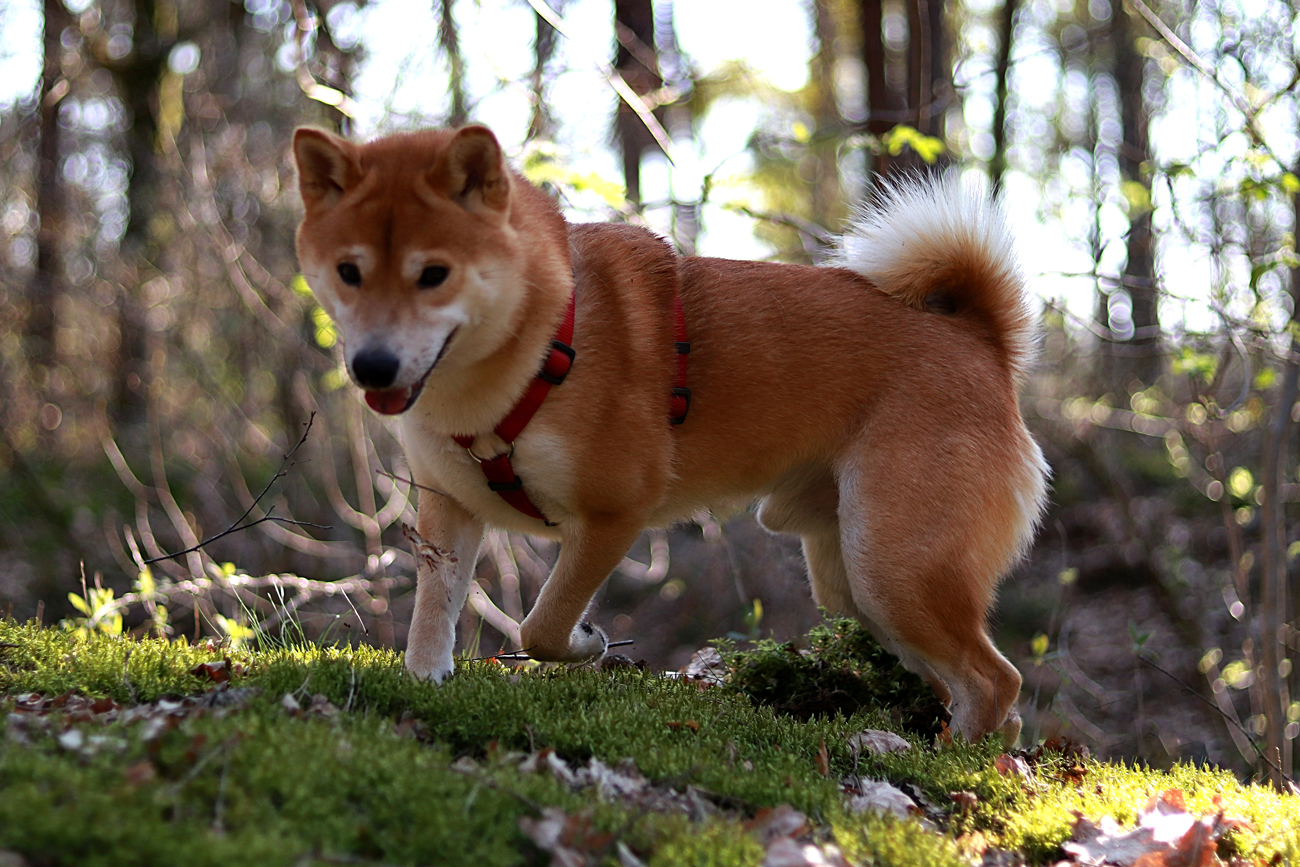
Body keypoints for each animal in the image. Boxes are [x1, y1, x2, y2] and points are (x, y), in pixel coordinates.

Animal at [292, 125, 1045, 743]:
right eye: (349, 272)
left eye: (434, 274)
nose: (372, 366)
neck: (543, 342)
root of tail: (981, 341)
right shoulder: (449, 511)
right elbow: (431, 620)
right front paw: (423, 688)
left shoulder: (612, 515)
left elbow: (543, 625)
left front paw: (588, 643)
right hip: (859, 584)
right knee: (984, 690)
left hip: (893, 566)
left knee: (995, 680)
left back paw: (952, 763)